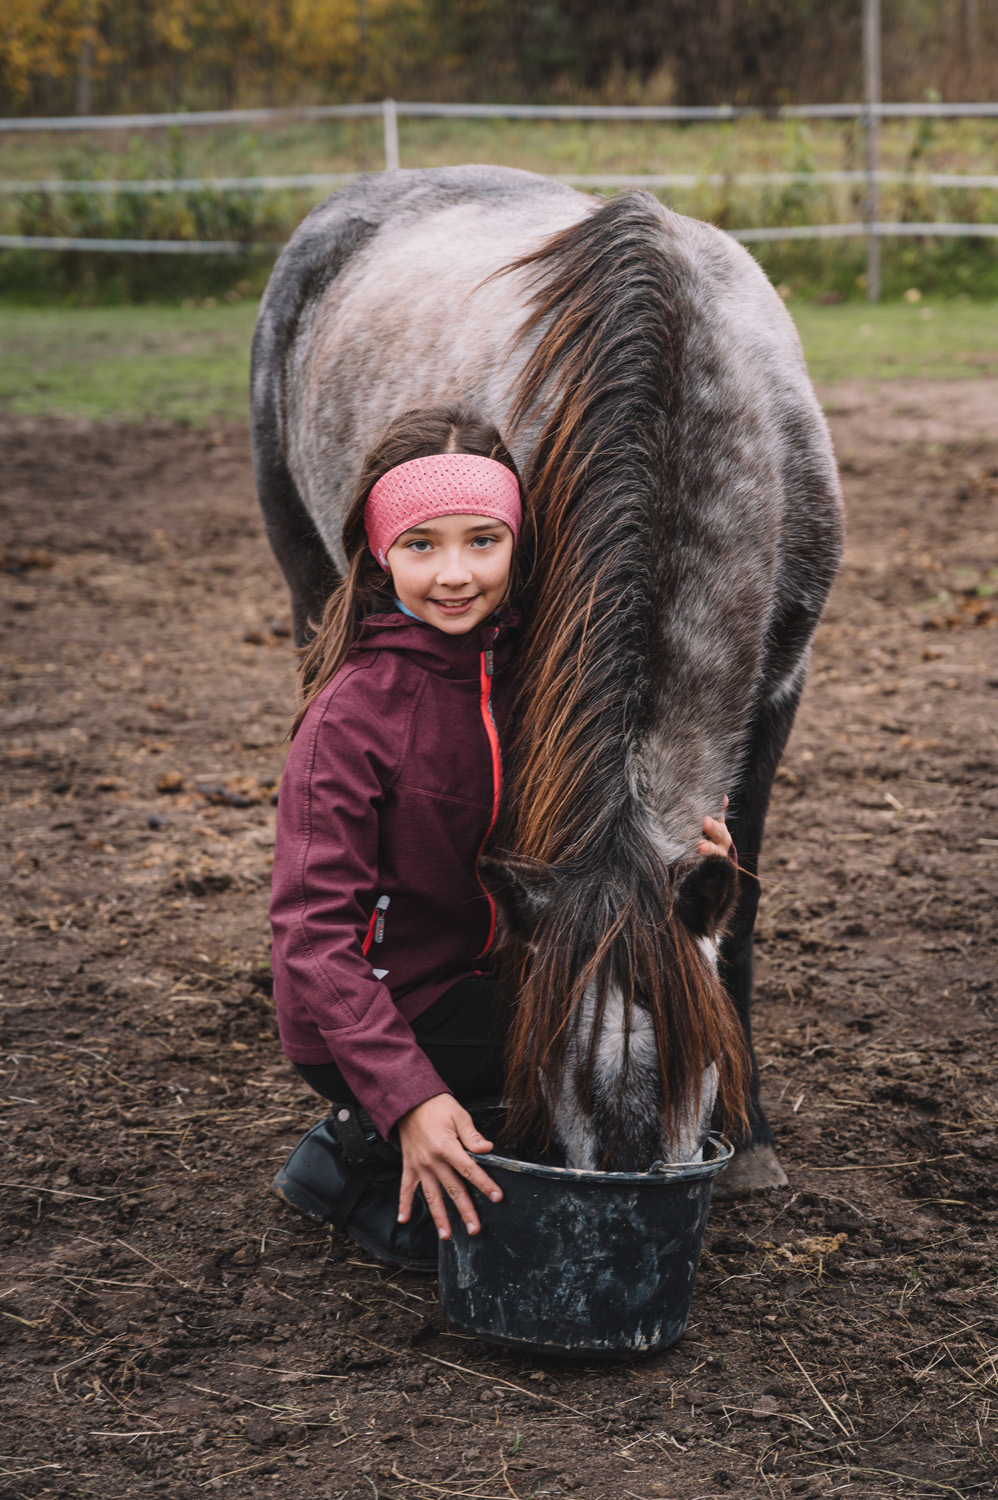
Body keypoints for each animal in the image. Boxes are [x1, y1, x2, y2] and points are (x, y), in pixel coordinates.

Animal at [251, 165, 843, 1191]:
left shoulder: (782, 689)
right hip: (308, 581)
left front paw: (753, 1137)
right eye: (558, 1050)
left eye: (691, 1046)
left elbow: (741, 914)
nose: (632, 1168)